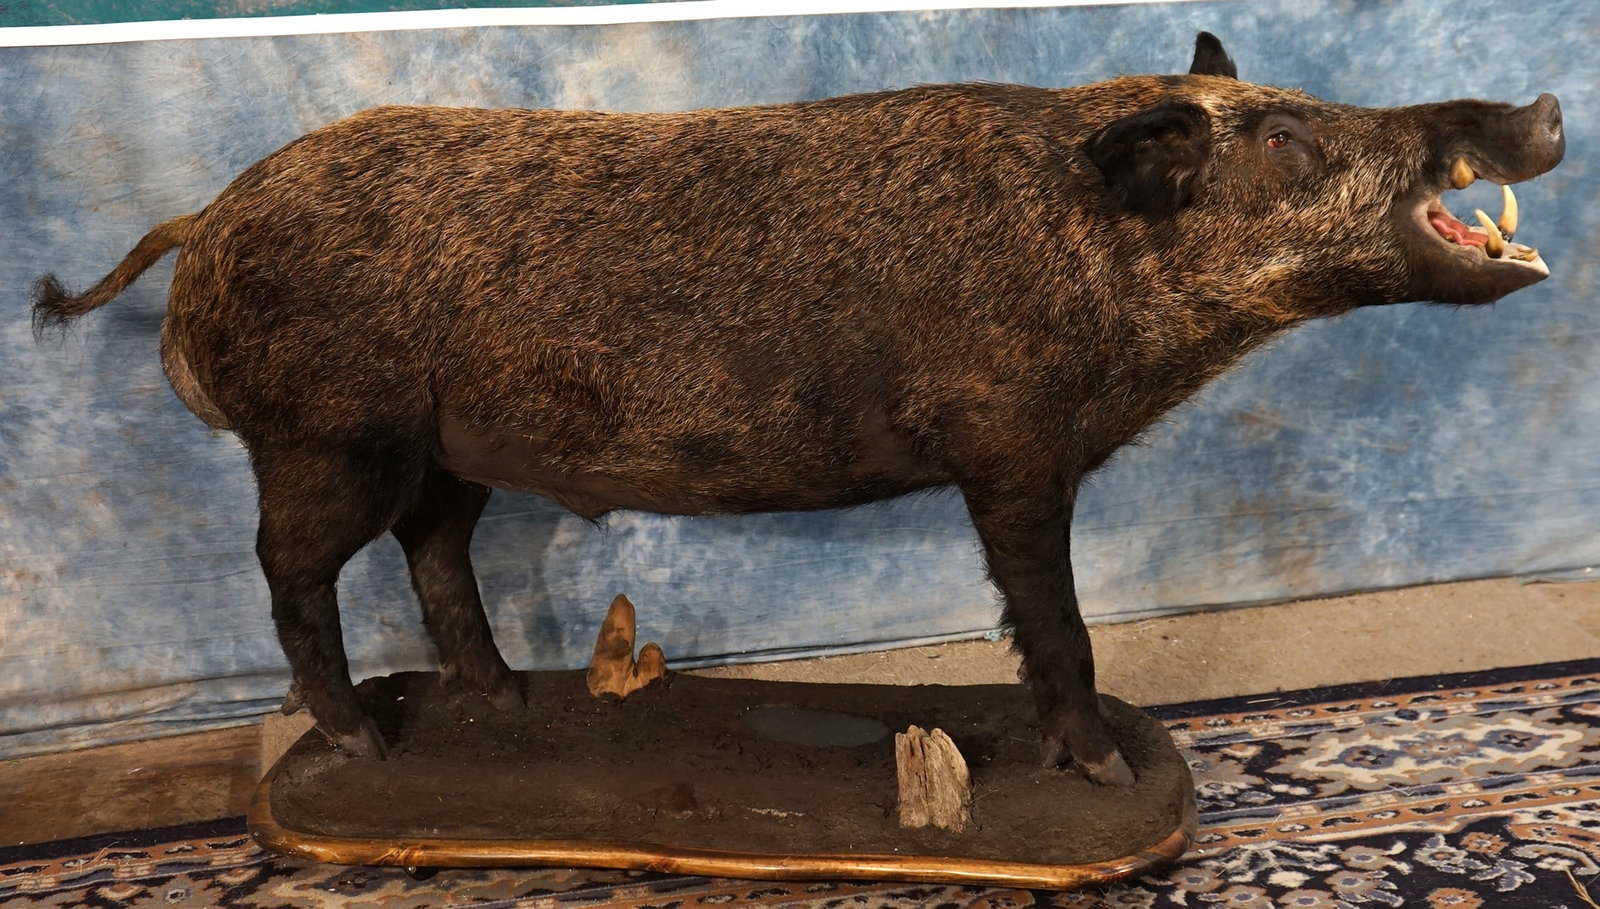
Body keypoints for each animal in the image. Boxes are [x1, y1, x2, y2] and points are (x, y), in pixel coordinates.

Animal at [33, 33, 1564, 786]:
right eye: (1289, 136)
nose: (1546, 108)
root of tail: (202, 220)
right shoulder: (1009, 443)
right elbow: (1053, 611)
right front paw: (1108, 773)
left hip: (446, 451)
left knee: (436, 551)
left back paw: (503, 699)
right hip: (323, 441)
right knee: (288, 574)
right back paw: (358, 744)